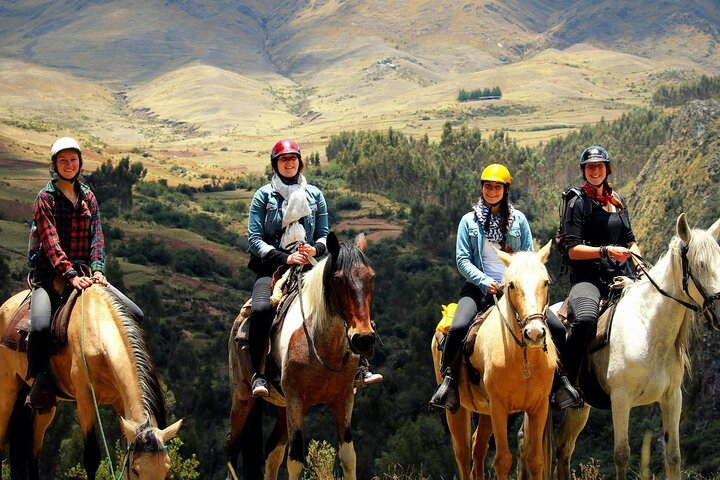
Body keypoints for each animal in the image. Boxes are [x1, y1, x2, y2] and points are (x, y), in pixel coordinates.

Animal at [0, 284, 183, 480]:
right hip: (7, 389)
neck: (97, 328)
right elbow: (91, 456)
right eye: (135, 470)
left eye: (167, 468)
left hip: (44, 405)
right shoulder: (85, 398)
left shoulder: (120, 400)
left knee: (33, 449)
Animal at [228, 232, 376, 480]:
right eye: (338, 279)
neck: (323, 349)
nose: (363, 338)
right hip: (243, 398)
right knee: (233, 447)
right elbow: (295, 461)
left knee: (272, 452)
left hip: (281, 405)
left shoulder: (344, 399)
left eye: (371, 278)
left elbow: (348, 457)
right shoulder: (296, 401)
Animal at [434, 242, 556, 480]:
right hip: (457, 409)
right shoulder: (499, 408)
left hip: (486, 412)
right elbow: (502, 461)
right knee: (463, 454)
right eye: (511, 285)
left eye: (545, 282)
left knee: (478, 449)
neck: (523, 360)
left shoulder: (539, 407)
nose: (534, 333)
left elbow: (536, 460)